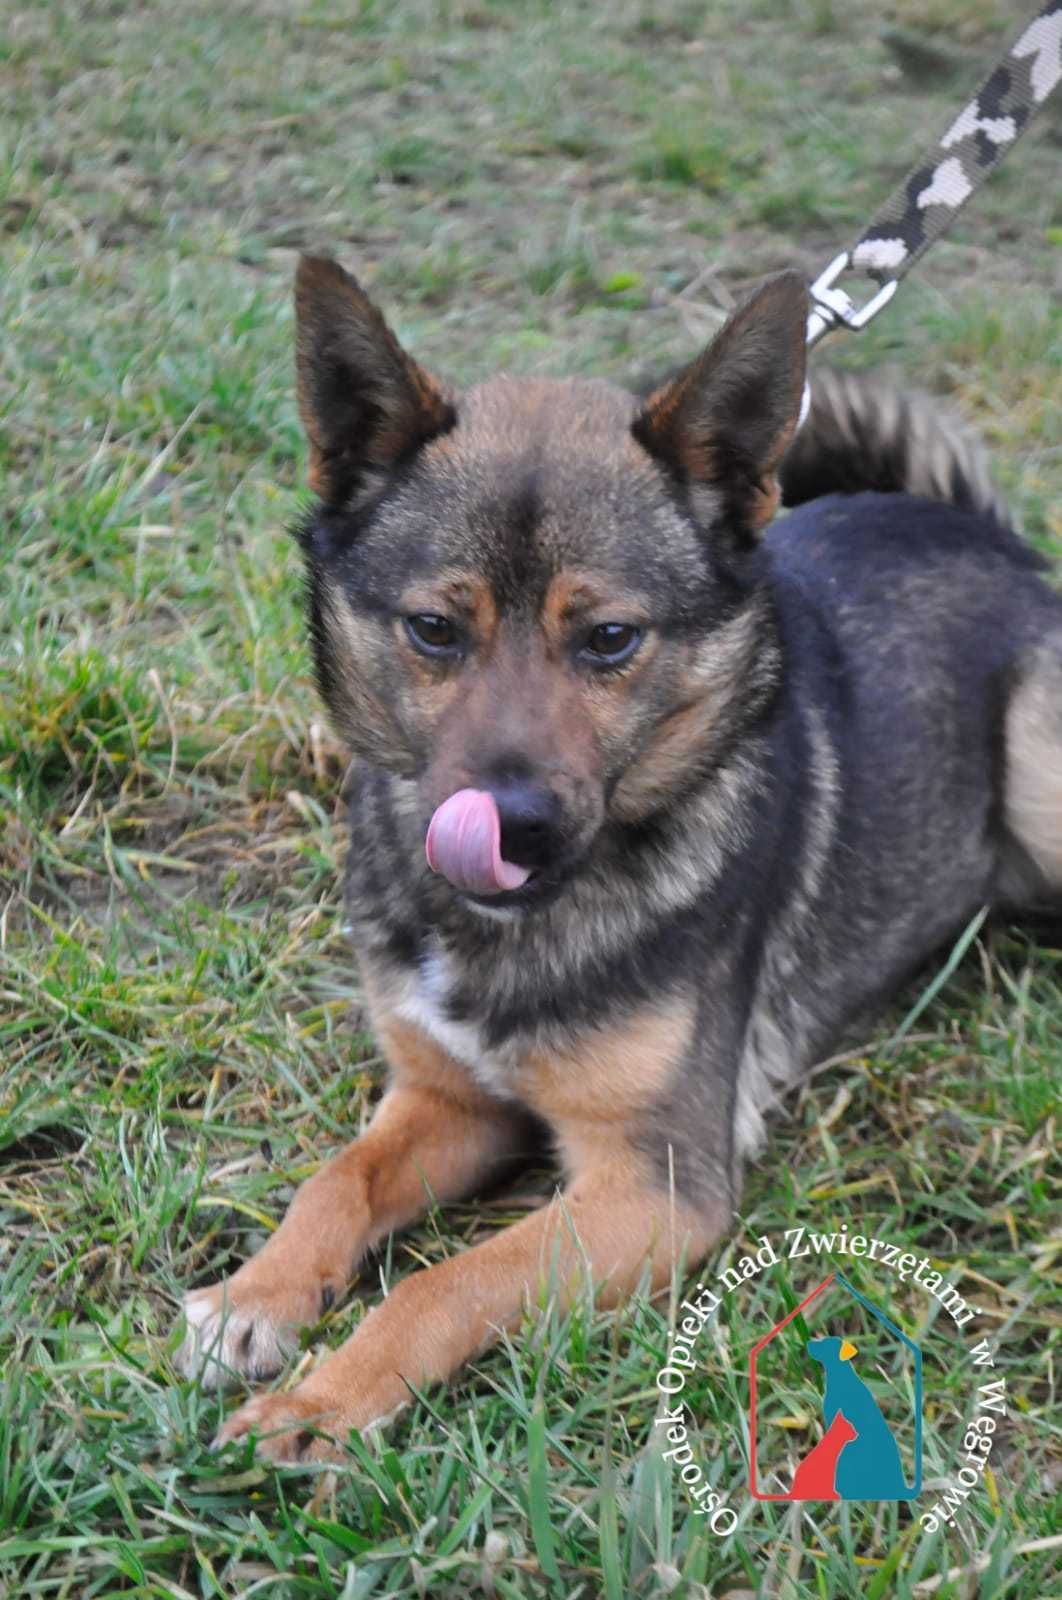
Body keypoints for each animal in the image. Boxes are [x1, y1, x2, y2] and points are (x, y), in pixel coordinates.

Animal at [180, 259, 1062, 1465]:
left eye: (608, 640)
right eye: (433, 630)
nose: (512, 824)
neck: (522, 922)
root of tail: (990, 538)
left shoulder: (656, 1184)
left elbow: (452, 1279)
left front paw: (330, 1397)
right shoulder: (447, 1099)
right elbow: (336, 1180)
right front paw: (256, 1293)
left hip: (1040, 767)